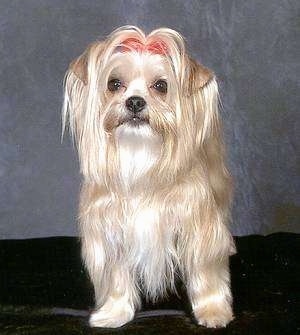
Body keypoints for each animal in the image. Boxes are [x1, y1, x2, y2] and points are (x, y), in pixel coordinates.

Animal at [62, 25, 236, 328]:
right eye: (114, 84)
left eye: (161, 86)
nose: (134, 101)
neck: (140, 159)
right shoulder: (112, 231)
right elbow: (117, 278)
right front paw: (114, 313)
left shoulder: (199, 226)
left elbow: (206, 270)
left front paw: (213, 310)